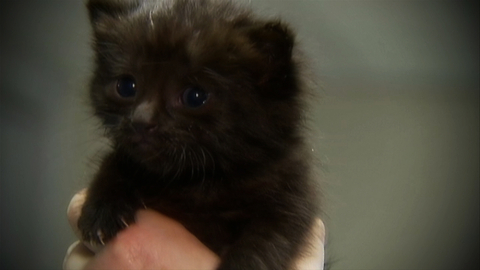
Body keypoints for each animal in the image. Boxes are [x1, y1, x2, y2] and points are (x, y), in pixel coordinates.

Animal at [78, 1, 318, 268]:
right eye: (126, 86)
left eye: (195, 96)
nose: (141, 121)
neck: (198, 179)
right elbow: (115, 161)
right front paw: (102, 208)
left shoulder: (290, 201)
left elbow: (265, 243)